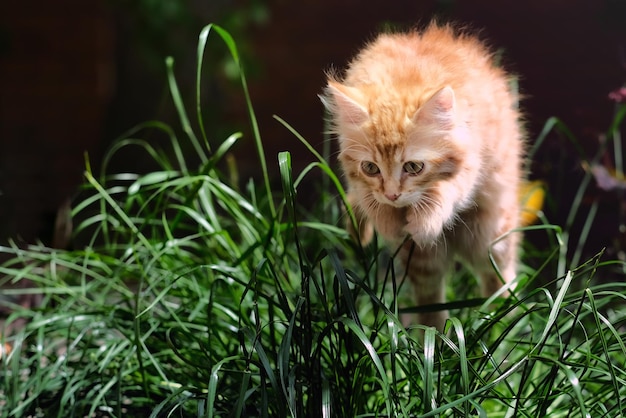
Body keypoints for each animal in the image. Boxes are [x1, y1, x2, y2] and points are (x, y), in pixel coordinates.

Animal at [322, 22, 520, 332]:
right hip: (423, 261)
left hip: (493, 235)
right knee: (430, 301)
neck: (400, 80)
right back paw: (435, 336)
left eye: (413, 167)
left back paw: (501, 326)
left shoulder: (470, 165)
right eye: (371, 168)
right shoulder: (361, 183)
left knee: (498, 278)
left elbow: (445, 192)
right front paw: (389, 222)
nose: (393, 194)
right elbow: (371, 201)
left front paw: (425, 222)